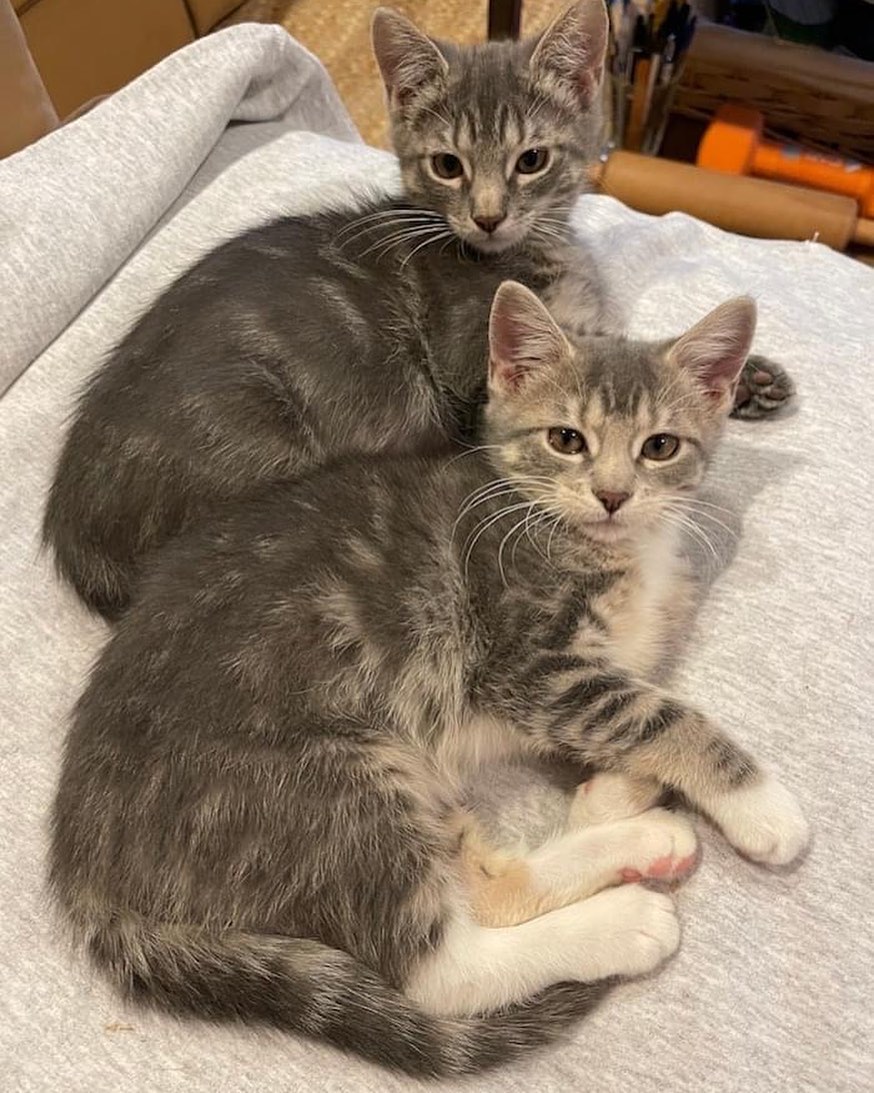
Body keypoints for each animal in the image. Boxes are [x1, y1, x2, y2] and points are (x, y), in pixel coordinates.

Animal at [40, 2, 790, 625]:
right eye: (448, 165)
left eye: (531, 160)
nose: (487, 217)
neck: (530, 255)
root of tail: (82, 550)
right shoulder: (477, 374)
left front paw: (743, 378)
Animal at [51, 281, 808, 1075]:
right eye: (567, 439)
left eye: (659, 446)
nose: (612, 495)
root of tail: (84, 866)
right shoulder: (526, 662)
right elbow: (661, 714)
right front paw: (763, 806)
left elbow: (637, 695)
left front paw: (630, 772)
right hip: (334, 781)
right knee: (445, 966)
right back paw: (624, 919)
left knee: (481, 881)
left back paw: (627, 823)